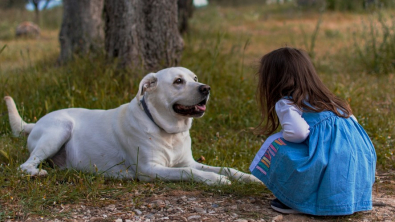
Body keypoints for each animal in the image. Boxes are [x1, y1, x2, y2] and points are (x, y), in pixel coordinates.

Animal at [6, 67, 260, 185]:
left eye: (195, 78)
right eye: (178, 81)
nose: (206, 88)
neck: (168, 131)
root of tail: (35, 123)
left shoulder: (188, 161)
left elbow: (225, 168)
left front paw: (248, 178)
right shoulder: (150, 169)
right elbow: (188, 172)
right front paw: (215, 180)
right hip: (59, 130)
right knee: (25, 165)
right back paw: (36, 173)